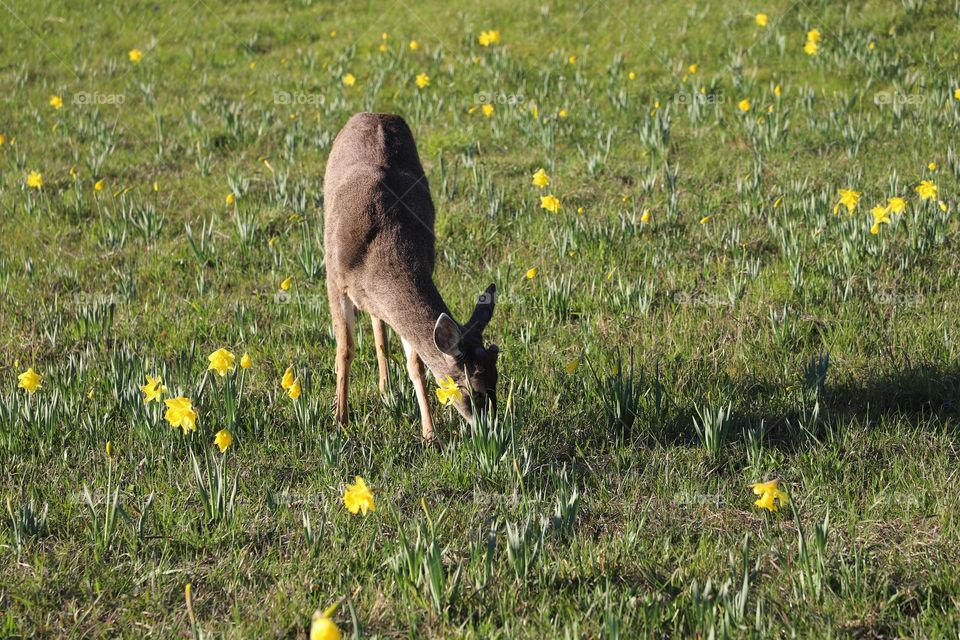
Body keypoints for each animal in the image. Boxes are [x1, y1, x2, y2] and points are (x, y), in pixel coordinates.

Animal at [324, 112, 502, 440]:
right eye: (475, 390)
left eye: (497, 381)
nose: (493, 431)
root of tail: (374, 113)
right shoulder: (334, 279)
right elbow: (345, 350)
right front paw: (340, 421)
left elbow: (416, 363)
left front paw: (430, 433)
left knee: (379, 324)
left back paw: (385, 388)